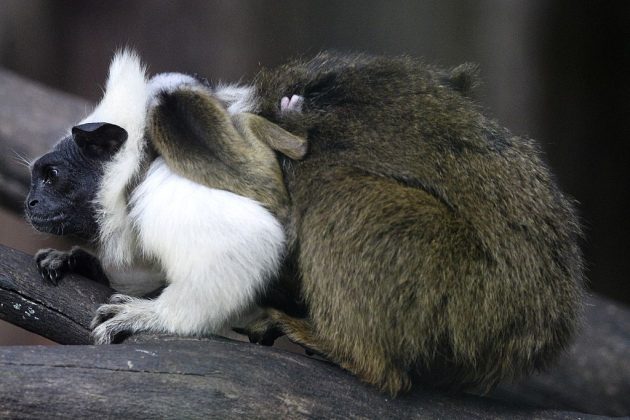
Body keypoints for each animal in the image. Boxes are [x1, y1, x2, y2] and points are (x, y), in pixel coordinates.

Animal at [27, 50, 584, 396]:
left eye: (50, 176)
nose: (31, 203)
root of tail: (549, 309)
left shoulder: (168, 191)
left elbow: (247, 244)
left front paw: (153, 317)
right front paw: (80, 261)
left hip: (477, 290)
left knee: (338, 195)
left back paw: (348, 352)